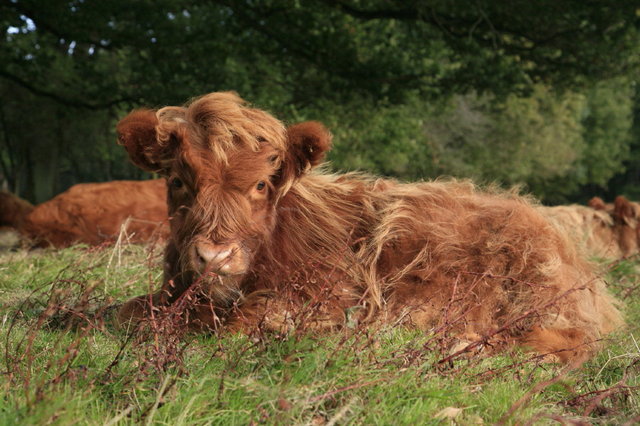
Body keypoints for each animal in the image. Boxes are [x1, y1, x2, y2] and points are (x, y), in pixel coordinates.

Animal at [117, 91, 624, 362]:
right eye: (178, 180)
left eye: (261, 183)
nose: (214, 257)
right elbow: (122, 312)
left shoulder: (327, 298)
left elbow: (241, 325)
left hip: (536, 303)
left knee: (566, 343)